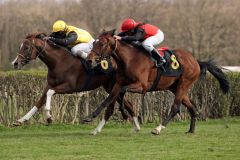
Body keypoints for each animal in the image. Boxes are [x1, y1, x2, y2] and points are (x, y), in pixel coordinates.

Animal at [12, 32, 141, 135]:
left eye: (26, 47)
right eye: (20, 46)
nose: (15, 63)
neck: (59, 62)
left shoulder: (69, 87)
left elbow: (49, 93)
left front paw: (49, 117)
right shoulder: (49, 85)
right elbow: (39, 101)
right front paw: (21, 120)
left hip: (114, 86)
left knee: (120, 105)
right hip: (110, 87)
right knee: (128, 104)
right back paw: (136, 128)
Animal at [85, 29, 230, 134]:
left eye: (102, 44)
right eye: (93, 43)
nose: (89, 60)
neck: (129, 59)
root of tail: (195, 61)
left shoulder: (142, 86)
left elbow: (122, 92)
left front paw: (124, 113)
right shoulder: (118, 83)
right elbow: (109, 99)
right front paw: (91, 117)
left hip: (184, 84)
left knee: (175, 107)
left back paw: (158, 128)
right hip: (175, 87)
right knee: (192, 107)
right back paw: (191, 130)